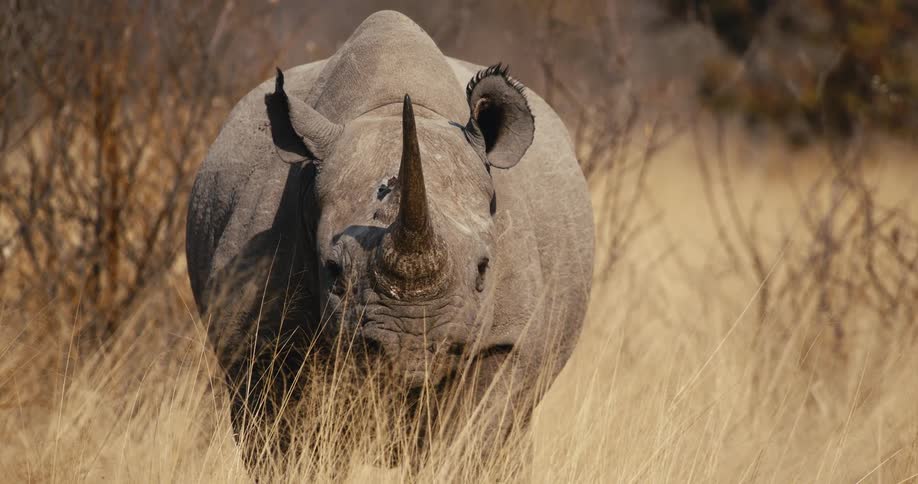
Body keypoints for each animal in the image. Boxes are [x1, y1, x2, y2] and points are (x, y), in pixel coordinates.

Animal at [185, 10, 593, 462]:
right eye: (334, 270)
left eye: (484, 269)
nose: (412, 350)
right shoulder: (257, 340)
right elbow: (288, 444)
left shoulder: (504, 340)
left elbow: (471, 441)